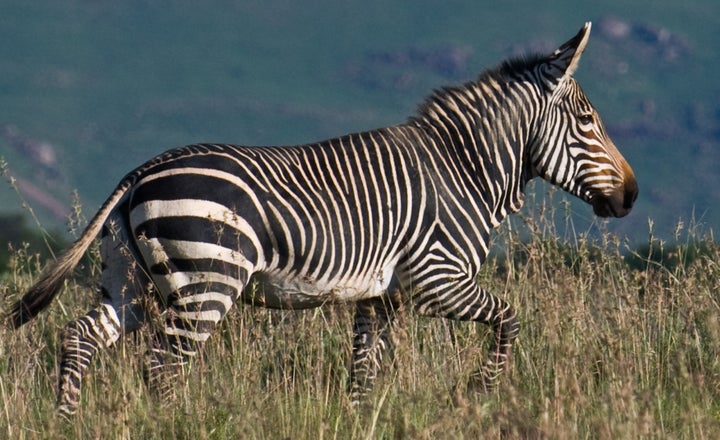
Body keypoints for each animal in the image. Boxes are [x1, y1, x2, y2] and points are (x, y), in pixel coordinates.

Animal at [5, 24, 636, 416]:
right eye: (587, 121)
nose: (631, 195)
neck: (463, 171)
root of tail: (140, 170)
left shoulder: (380, 297)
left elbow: (362, 376)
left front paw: (361, 419)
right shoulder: (438, 281)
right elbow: (510, 319)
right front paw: (480, 390)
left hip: (131, 281)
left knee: (79, 339)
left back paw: (66, 419)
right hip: (206, 282)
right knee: (163, 367)